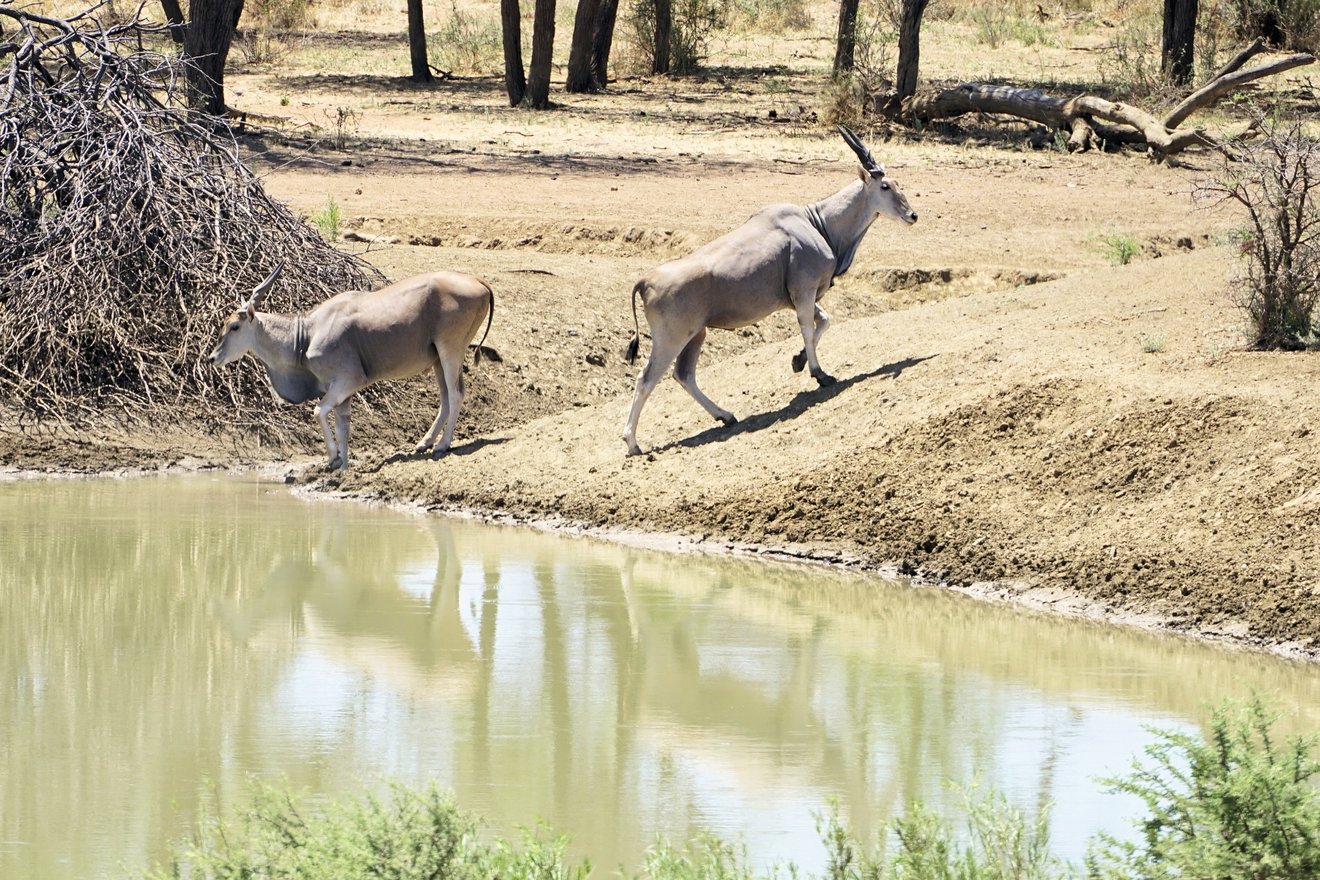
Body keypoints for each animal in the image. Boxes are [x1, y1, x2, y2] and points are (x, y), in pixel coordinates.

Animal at [205, 263, 496, 472]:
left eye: (234, 326)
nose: (212, 358)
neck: (307, 333)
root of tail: (479, 281)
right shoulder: (341, 390)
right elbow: (342, 422)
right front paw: (342, 465)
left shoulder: (348, 380)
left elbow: (319, 411)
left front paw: (334, 459)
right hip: (436, 358)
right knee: (445, 396)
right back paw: (424, 443)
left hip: (450, 350)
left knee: (456, 393)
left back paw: (442, 446)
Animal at [620, 127, 918, 459]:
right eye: (885, 186)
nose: (912, 215)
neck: (817, 222)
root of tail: (645, 281)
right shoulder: (804, 291)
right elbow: (809, 327)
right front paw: (819, 374)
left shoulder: (799, 298)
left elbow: (824, 321)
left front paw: (798, 360)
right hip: (671, 339)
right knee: (646, 379)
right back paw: (632, 443)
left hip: (697, 334)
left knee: (684, 375)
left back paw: (726, 415)